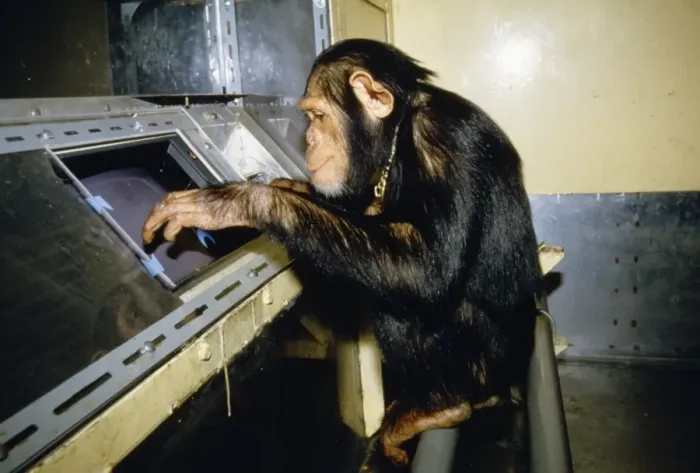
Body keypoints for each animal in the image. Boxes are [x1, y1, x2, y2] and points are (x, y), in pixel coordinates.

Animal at [141, 38, 542, 471]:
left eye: (318, 115)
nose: (311, 141)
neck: (396, 135)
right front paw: (289, 187)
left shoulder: (442, 141)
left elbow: (427, 268)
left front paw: (243, 201)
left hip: (490, 361)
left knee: (405, 302)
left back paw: (441, 405)